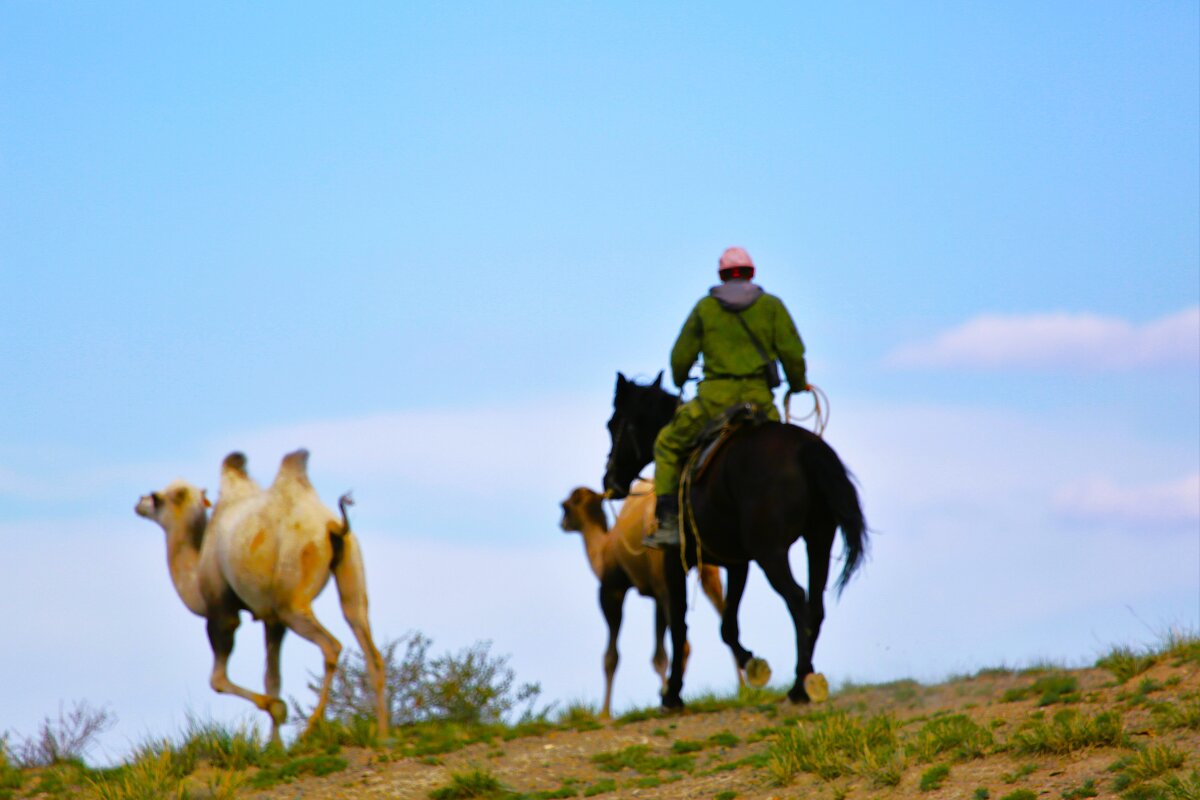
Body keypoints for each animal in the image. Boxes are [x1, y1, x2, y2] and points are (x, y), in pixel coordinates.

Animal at [137, 450, 388, 743]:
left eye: (156, 498)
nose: (139, 502)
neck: (196, 575)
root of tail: (333, 526)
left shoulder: (221, 609)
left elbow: (218, 680)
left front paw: (277, 711)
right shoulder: (271, 618)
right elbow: (272, 678)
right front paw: (274, 743)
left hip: (293, 593)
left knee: (331, 646)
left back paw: (311, 729)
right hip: (349, 569)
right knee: (366, 638)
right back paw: (383, 732)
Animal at [556, 479, 734, 714]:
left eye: (565, 506)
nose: (562, 524)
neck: (603, 550)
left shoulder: (612, 589)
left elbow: (611, 656)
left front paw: (604, 713)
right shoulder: (656, 596)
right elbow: (659, 655)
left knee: (686, 642)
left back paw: (672, 698)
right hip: (706, 567)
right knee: (723, 619)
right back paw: (744, 688)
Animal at [604, 371, 868, 710]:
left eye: (613, 424)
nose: (609, 481)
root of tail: (806, 448)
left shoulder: (675, 562)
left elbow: (679, 625)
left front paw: (673, 693)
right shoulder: (736, 563)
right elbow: (728, 625)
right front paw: (753, 665)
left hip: (772, 553)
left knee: (797, 600)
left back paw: (799, 685)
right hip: (819, 541)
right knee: (815, 606)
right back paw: (807, 678)